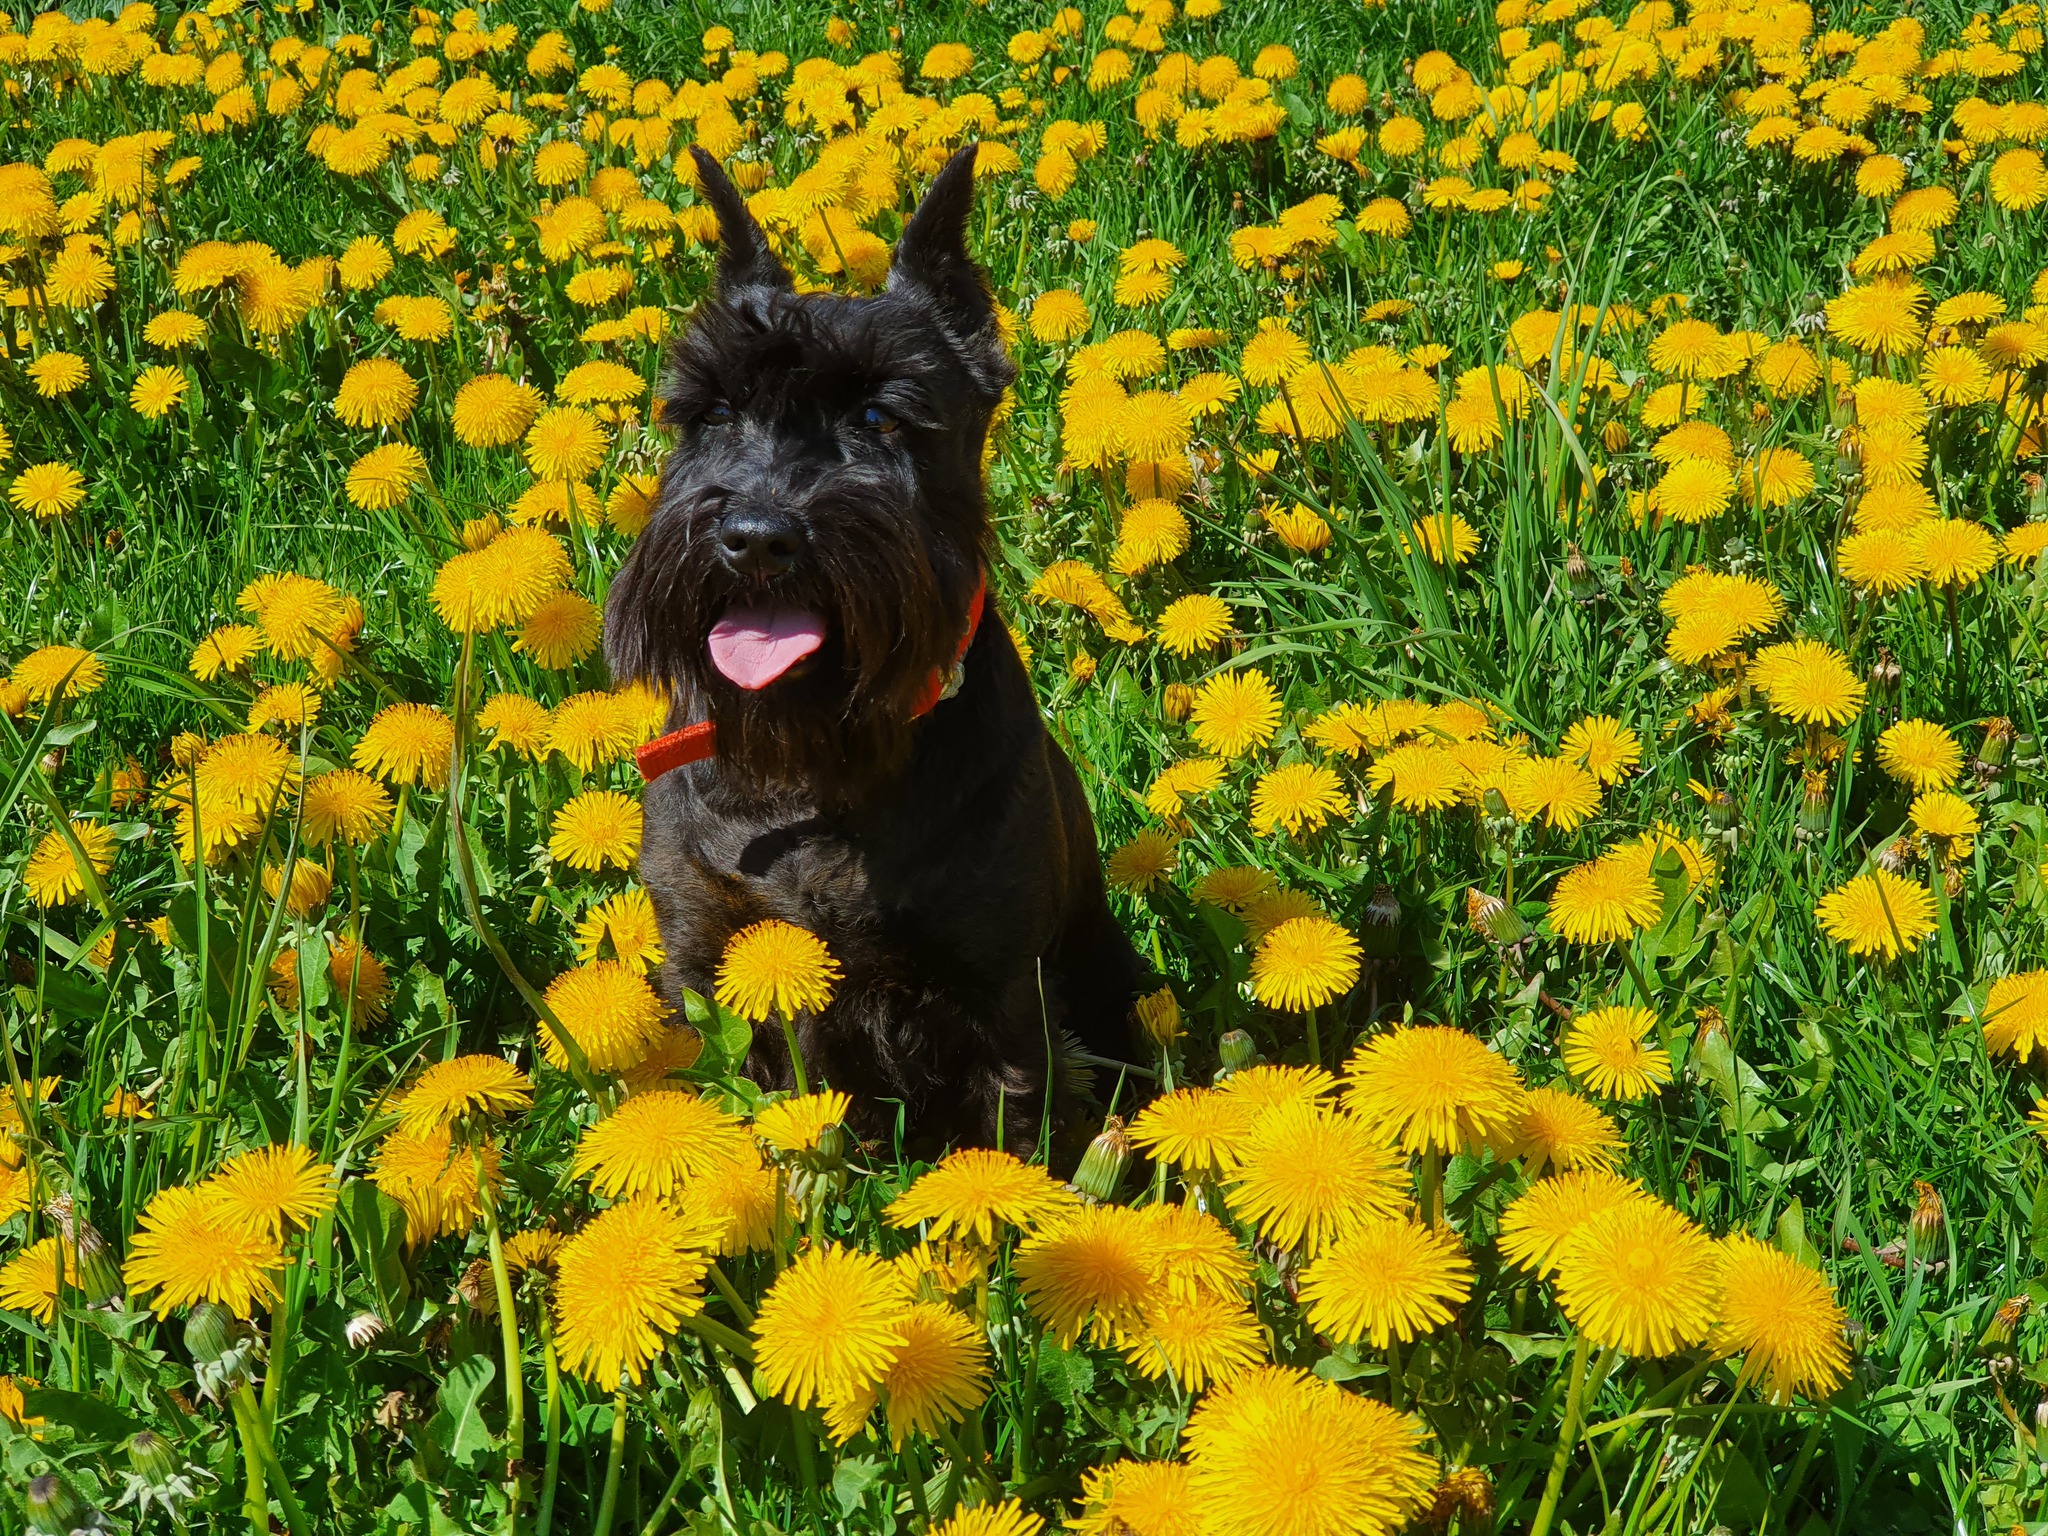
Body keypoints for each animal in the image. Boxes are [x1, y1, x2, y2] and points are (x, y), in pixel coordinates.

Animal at [606, 147, 1146, 1155]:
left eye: (880, 419)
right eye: (713, 413)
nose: (755, 537)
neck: (816, 766)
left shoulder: (998, 991)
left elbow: (1011, 1133)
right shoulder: (707, 959)